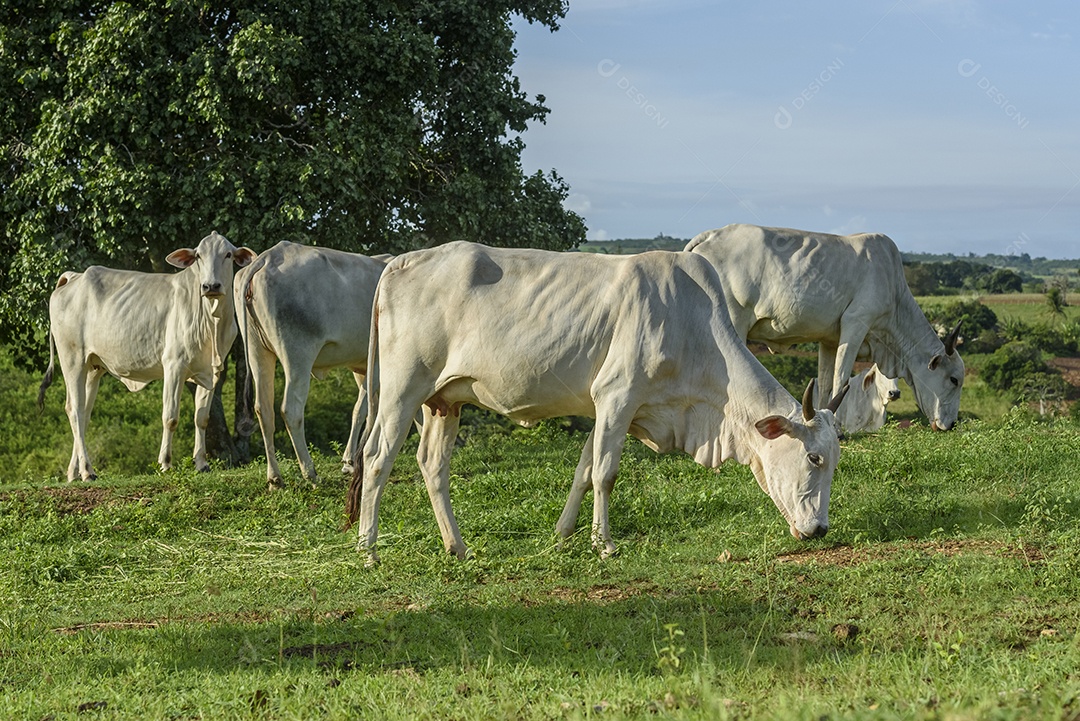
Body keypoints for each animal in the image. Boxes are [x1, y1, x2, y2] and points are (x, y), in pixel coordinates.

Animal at [36, 230, 257, 479]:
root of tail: (74, 277)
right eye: (198, 256)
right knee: (74, 410)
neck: (213, 321)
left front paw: (201, 463)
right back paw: (87, 471)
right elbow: (170, 417)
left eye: (228, 254)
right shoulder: (174, 365)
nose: (211, 286)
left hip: (93, 367)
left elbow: (202, 418)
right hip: (72, 360)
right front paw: (165, 463)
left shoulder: (212, 371)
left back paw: (75, 473)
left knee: (83, 413)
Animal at [345, 245, 851, 565]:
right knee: (376, 457)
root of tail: (401, 261)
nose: (820, 530)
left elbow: (585, 469)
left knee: (432, 463)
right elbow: (606, 474)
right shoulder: (617, 395)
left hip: (442, 400)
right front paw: (603, 544)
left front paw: (563, 535)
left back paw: (458, 548)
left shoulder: (608, 409)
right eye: (814, 457)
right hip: (401, 389)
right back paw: (368, 550)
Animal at [686, 222, 967, 431]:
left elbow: (825, 383)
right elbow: (840, 378)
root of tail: (711, 235)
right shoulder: (856, 323)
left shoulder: (829, 340)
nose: (952, 424)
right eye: (954, 379)